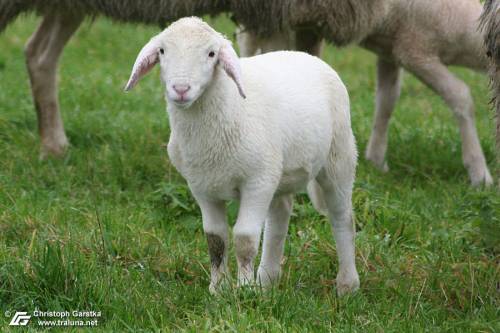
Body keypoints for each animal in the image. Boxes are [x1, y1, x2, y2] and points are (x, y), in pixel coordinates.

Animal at [234, 0, 492, 187]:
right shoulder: (415, 52)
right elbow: (460, 95)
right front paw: (479, 172)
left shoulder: (391, 54)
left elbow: (387, 101)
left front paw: (376, 158)